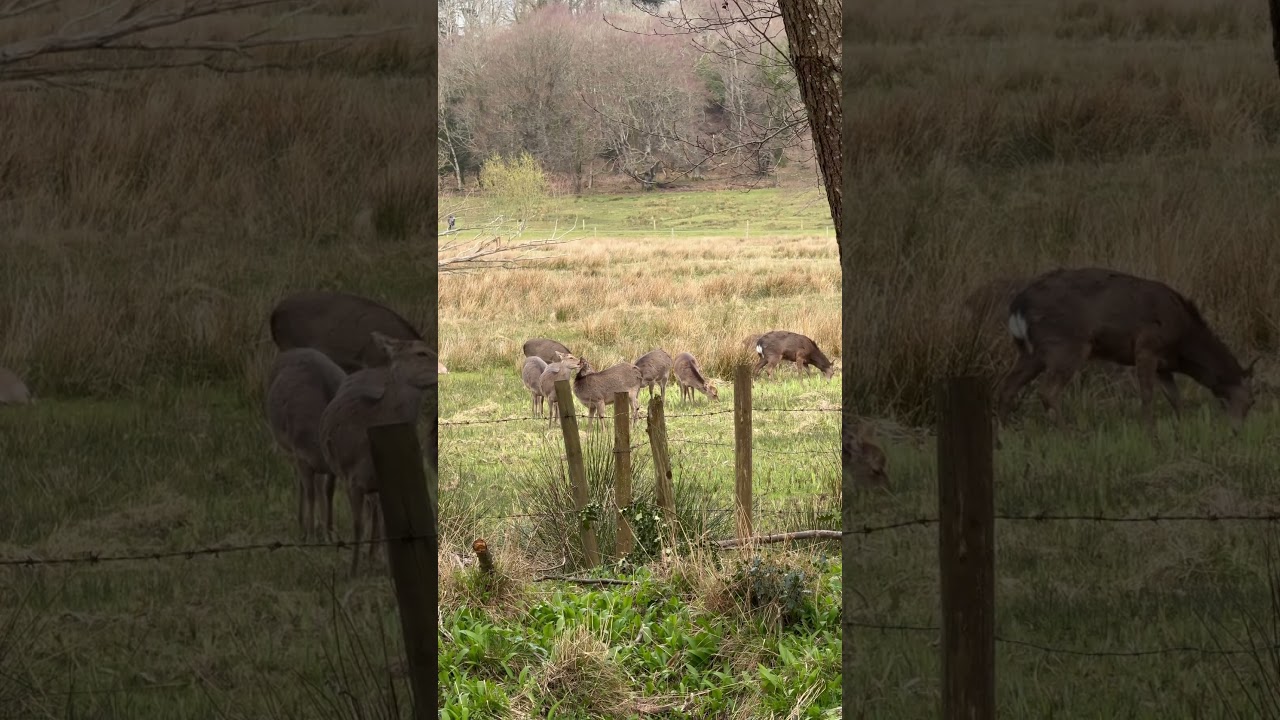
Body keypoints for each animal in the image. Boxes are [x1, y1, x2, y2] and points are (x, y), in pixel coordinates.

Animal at [996, 267, 1257, 443]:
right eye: (1252, 401)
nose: (1237, 431)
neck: (1183, 342)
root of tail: (1017, 306)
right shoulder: (1147, 346)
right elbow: (1148, 395)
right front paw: (1151, 435)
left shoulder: (1164, 365)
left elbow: (1175, 398)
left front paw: (1180, 431)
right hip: (1066, 344)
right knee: (1048, 391)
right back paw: (1068, 435)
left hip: (1031, 352)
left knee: (1007, 386)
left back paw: (1004, 436)